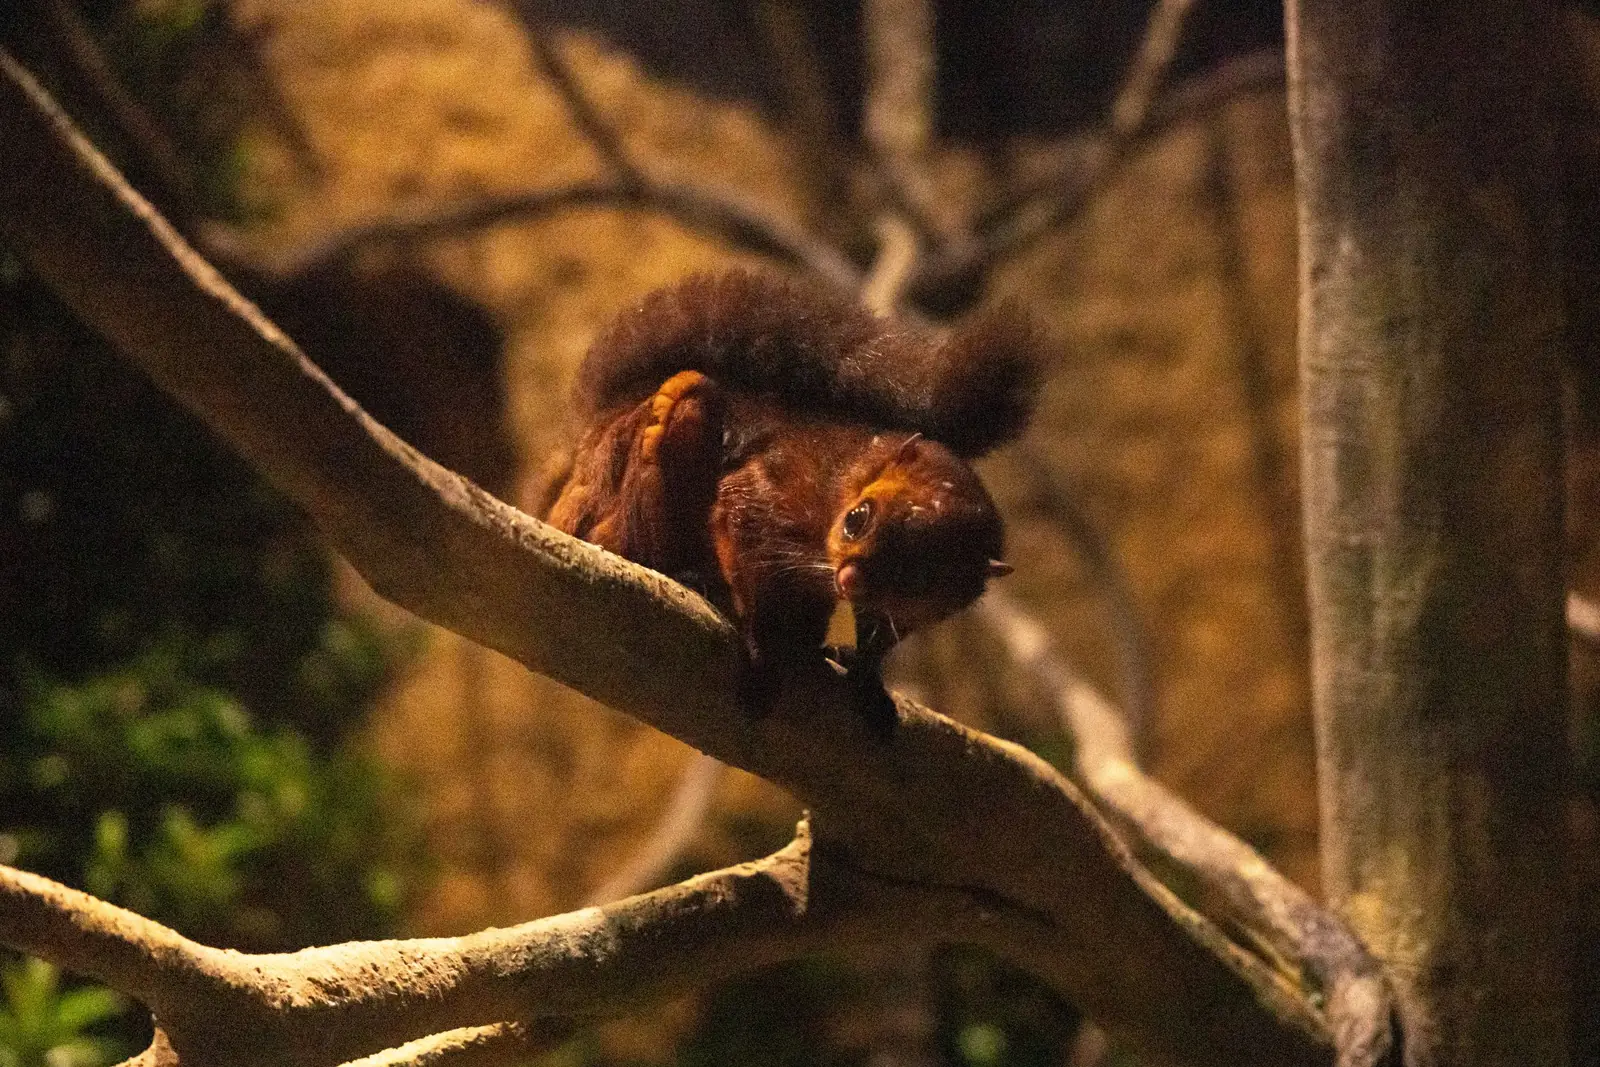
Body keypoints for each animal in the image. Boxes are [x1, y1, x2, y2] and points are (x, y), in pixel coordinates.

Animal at [543, 270, 1044, 728]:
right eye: (858, 518)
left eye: (925, 578)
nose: (851, 578)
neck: (847, 480)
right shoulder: (771, 493)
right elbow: (747, 545)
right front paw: (763, 655)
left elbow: (879, 635)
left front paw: (867, 680)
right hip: (651, 457)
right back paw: (687, 575)